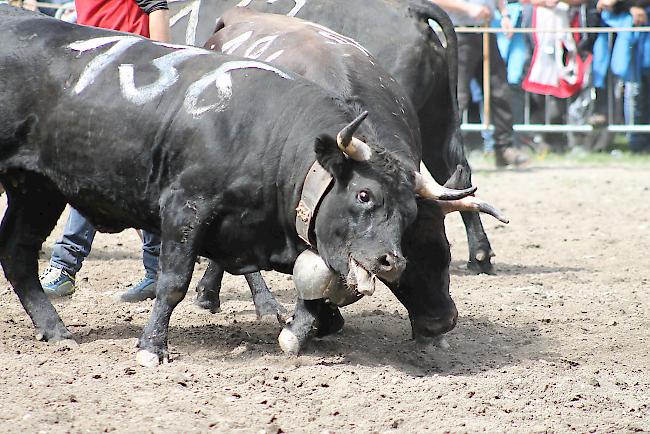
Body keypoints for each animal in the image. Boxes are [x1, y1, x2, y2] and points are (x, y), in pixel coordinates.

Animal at [0, 6, 456, 364]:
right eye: (364, 195)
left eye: (409, 215)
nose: (390, 262)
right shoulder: (185, 207)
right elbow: (172, 283)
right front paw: (151, 347)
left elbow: (314, 289)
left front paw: (298, 330)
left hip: (36, 189)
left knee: (17, 253)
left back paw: (57, 331)